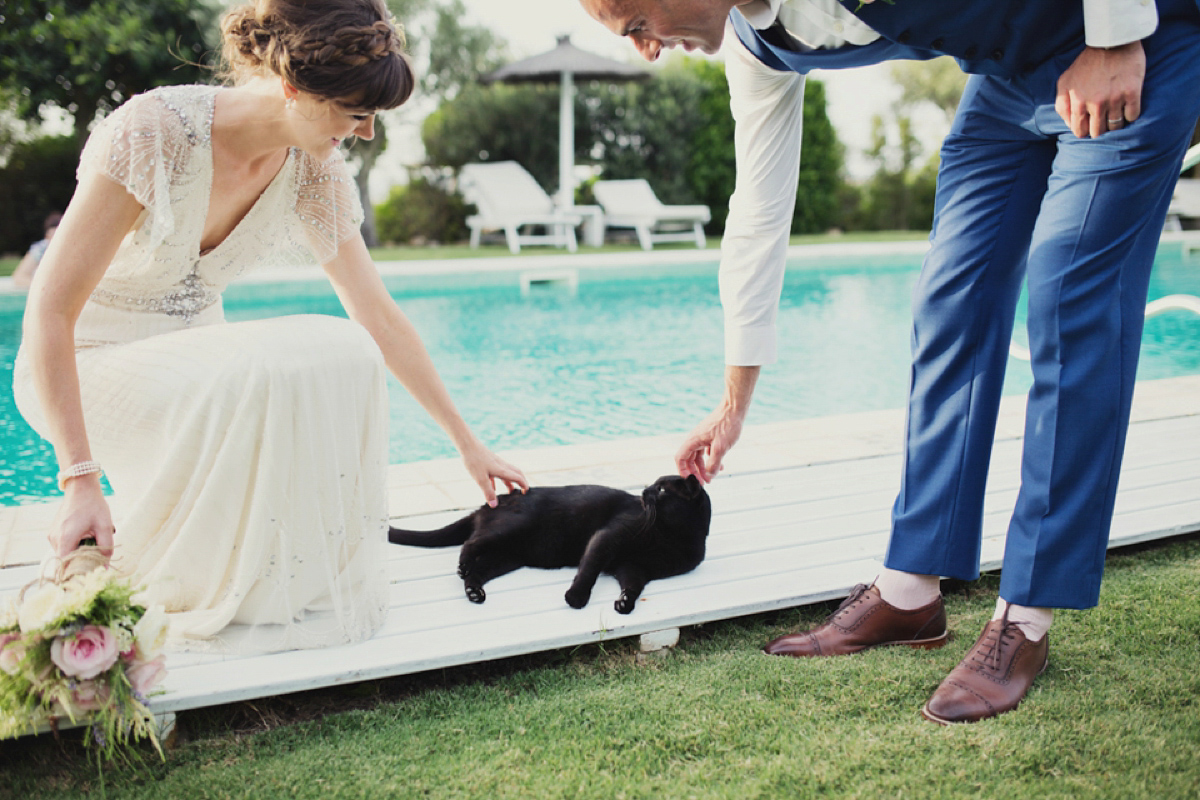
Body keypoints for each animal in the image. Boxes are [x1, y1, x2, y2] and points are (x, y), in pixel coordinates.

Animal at [388, 474, 710, 614]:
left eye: (662, 489)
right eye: (655, 485)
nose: (644, 491)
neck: (671, 536)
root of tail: (490, 503)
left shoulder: (634, 567)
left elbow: (633, 586)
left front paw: (624, 603)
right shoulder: (608, 536)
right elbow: (589, 570)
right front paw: (576, 597)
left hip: (507, 558)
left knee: (478, 570)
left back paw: (474, 592)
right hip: (510, 529)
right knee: (470, 542)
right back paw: (464, 564)